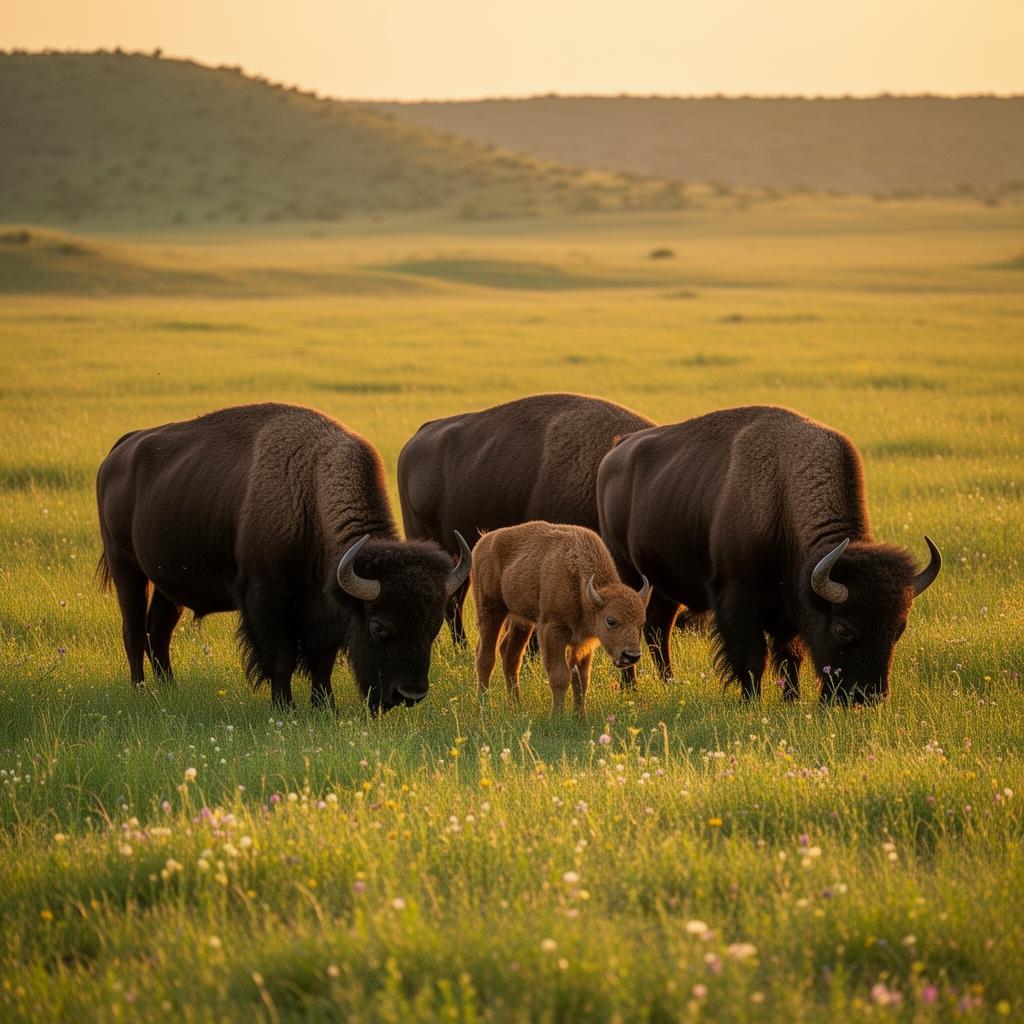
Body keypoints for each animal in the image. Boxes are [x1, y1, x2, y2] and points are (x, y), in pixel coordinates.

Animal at [96, 403, 470, 713]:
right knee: (133, 631)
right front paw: (285, 708)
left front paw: (325, 707)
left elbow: (321, 661)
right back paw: (141, 691)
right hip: (125, 567)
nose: (410, 694)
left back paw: (168, 688)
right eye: (379, 625)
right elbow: (281, 659)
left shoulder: (325, 611)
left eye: (433, 624)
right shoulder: (268, 599)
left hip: (166, 584)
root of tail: (120, 450)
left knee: (158, 632)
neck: (309, 489)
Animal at [471, 521, 651, 715]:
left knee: (511, 656)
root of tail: (482, 542)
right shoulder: (552, 631)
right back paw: (484, 707)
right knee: (485, 657)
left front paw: (580, 717)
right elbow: (560, 676)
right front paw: (557, 716)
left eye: (641, 623)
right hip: (491, 610)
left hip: (521, 622)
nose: (631, 656)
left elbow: (581, 680)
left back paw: (517, 707)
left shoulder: (584, 642)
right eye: (611, 621)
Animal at [597, 405, 941, 704]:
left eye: (899, 628)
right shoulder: (736, 599)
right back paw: (631, 688)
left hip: (665, 582)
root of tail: (616, 450)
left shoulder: (789, 609)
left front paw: (792, 700)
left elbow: (789, 657)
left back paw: (669, 683)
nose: (866, 697)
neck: (783, 494)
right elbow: (752, 658)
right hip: (629, 571)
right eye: (843, 629)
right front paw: (751, 701)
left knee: (657, 628)